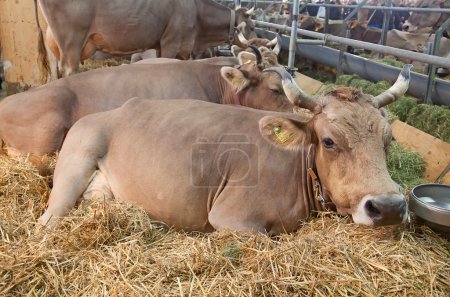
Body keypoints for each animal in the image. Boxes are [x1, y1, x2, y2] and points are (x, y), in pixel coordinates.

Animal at [38, 65, 412, 231]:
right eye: (329, 141)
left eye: (388, 139)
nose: (390, 207)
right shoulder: (231, 216)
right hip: (74, 166)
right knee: (48, 219)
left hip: (102, 193)